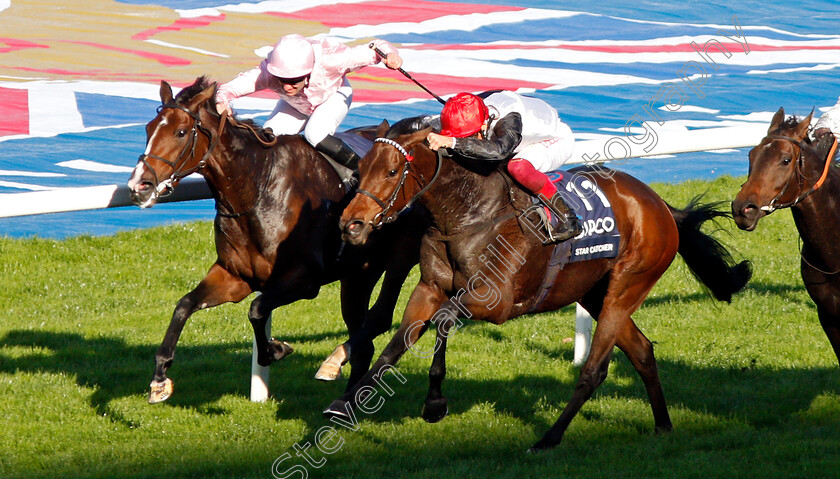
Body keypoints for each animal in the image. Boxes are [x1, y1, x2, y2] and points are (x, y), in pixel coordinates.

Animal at [127, 77, 424, 404]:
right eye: (148, 129)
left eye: (180, 132)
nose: (139, 185)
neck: (258, 188)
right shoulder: (234, 276)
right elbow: (184, 304)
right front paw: (159, 378)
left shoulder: (305, 280)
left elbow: (257, 309)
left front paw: (274, 350)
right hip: (355, 275)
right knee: (363, 343)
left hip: (392, 262)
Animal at [324, 115, 752, 450]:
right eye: (361, 168)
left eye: (392, 171)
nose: (351, 224)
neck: (467, 213)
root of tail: (660, 205)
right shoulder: (429, 288)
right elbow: (396, 344)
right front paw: (344, 404)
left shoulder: (494, 302)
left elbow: (443, 320)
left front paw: (434, 404)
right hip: (593, 291)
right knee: (643, 351)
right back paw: (663, 425)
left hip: (627, 286)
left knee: (594, 370)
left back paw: (549, 438)